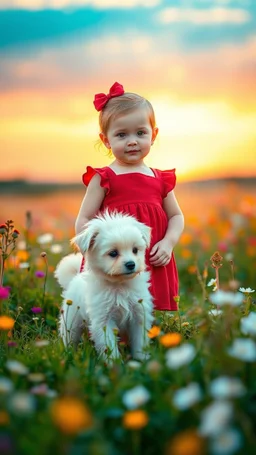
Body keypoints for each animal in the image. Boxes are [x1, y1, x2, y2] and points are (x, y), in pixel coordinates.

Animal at [54, 211, 154, 364]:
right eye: (113, 253)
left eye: (135, 250)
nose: (131, 264)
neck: (119, 285)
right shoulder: (103, 319)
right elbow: (109, 344)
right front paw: (114, 363)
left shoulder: (139, 315)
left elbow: (140, 341)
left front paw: (142, 360)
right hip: (71, 320)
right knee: (70, 337)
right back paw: (68, 354)